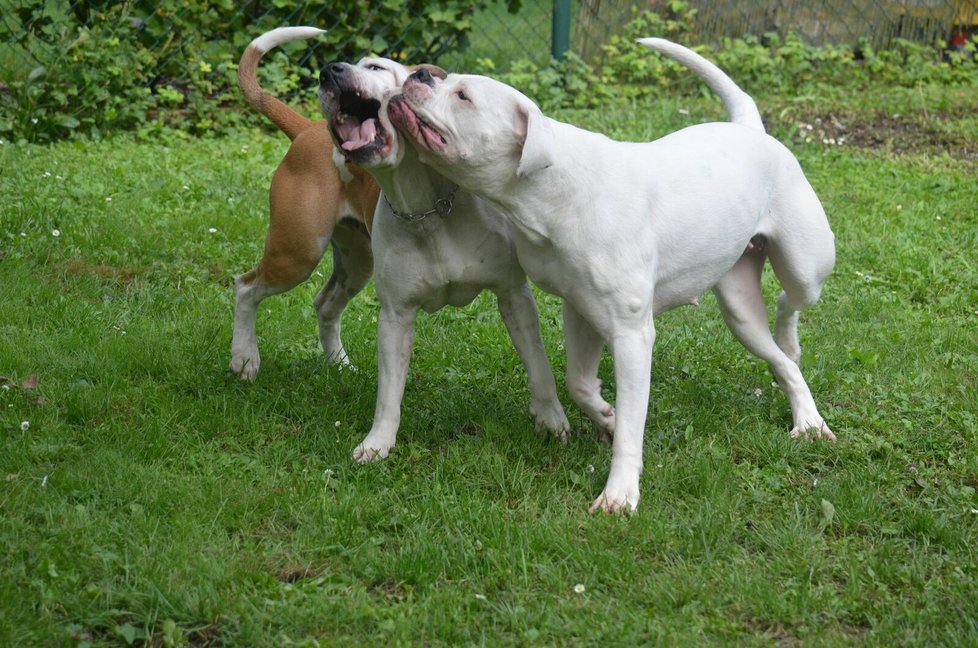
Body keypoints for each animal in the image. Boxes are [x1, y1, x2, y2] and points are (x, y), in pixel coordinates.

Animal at [231, 26, 380, 380]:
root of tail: (308, 129)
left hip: (358, 259)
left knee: (326, 306)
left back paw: (341, 366)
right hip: (298, 251)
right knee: (246, 288)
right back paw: (245, 359)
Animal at [316, 54, 568, 460]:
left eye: (375, 67)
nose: (327, 71)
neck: (427, 210)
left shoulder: (514, 296)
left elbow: (539, 364)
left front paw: (550, 419)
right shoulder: (396, 317)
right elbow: (389, 392)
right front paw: (377, 443)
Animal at [390, 39, 840, 516]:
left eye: (463, 96)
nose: (419, 74)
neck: (555, 192)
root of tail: (751, 128)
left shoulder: (631, 335)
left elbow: (630, 425)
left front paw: (620, 494)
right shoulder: (582, 311)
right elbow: (578, 384)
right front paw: (604, 415)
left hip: (806, 267)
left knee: (791, 302)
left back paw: (801, 382)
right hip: (740, 310)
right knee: (781, 356)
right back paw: (804, 405)